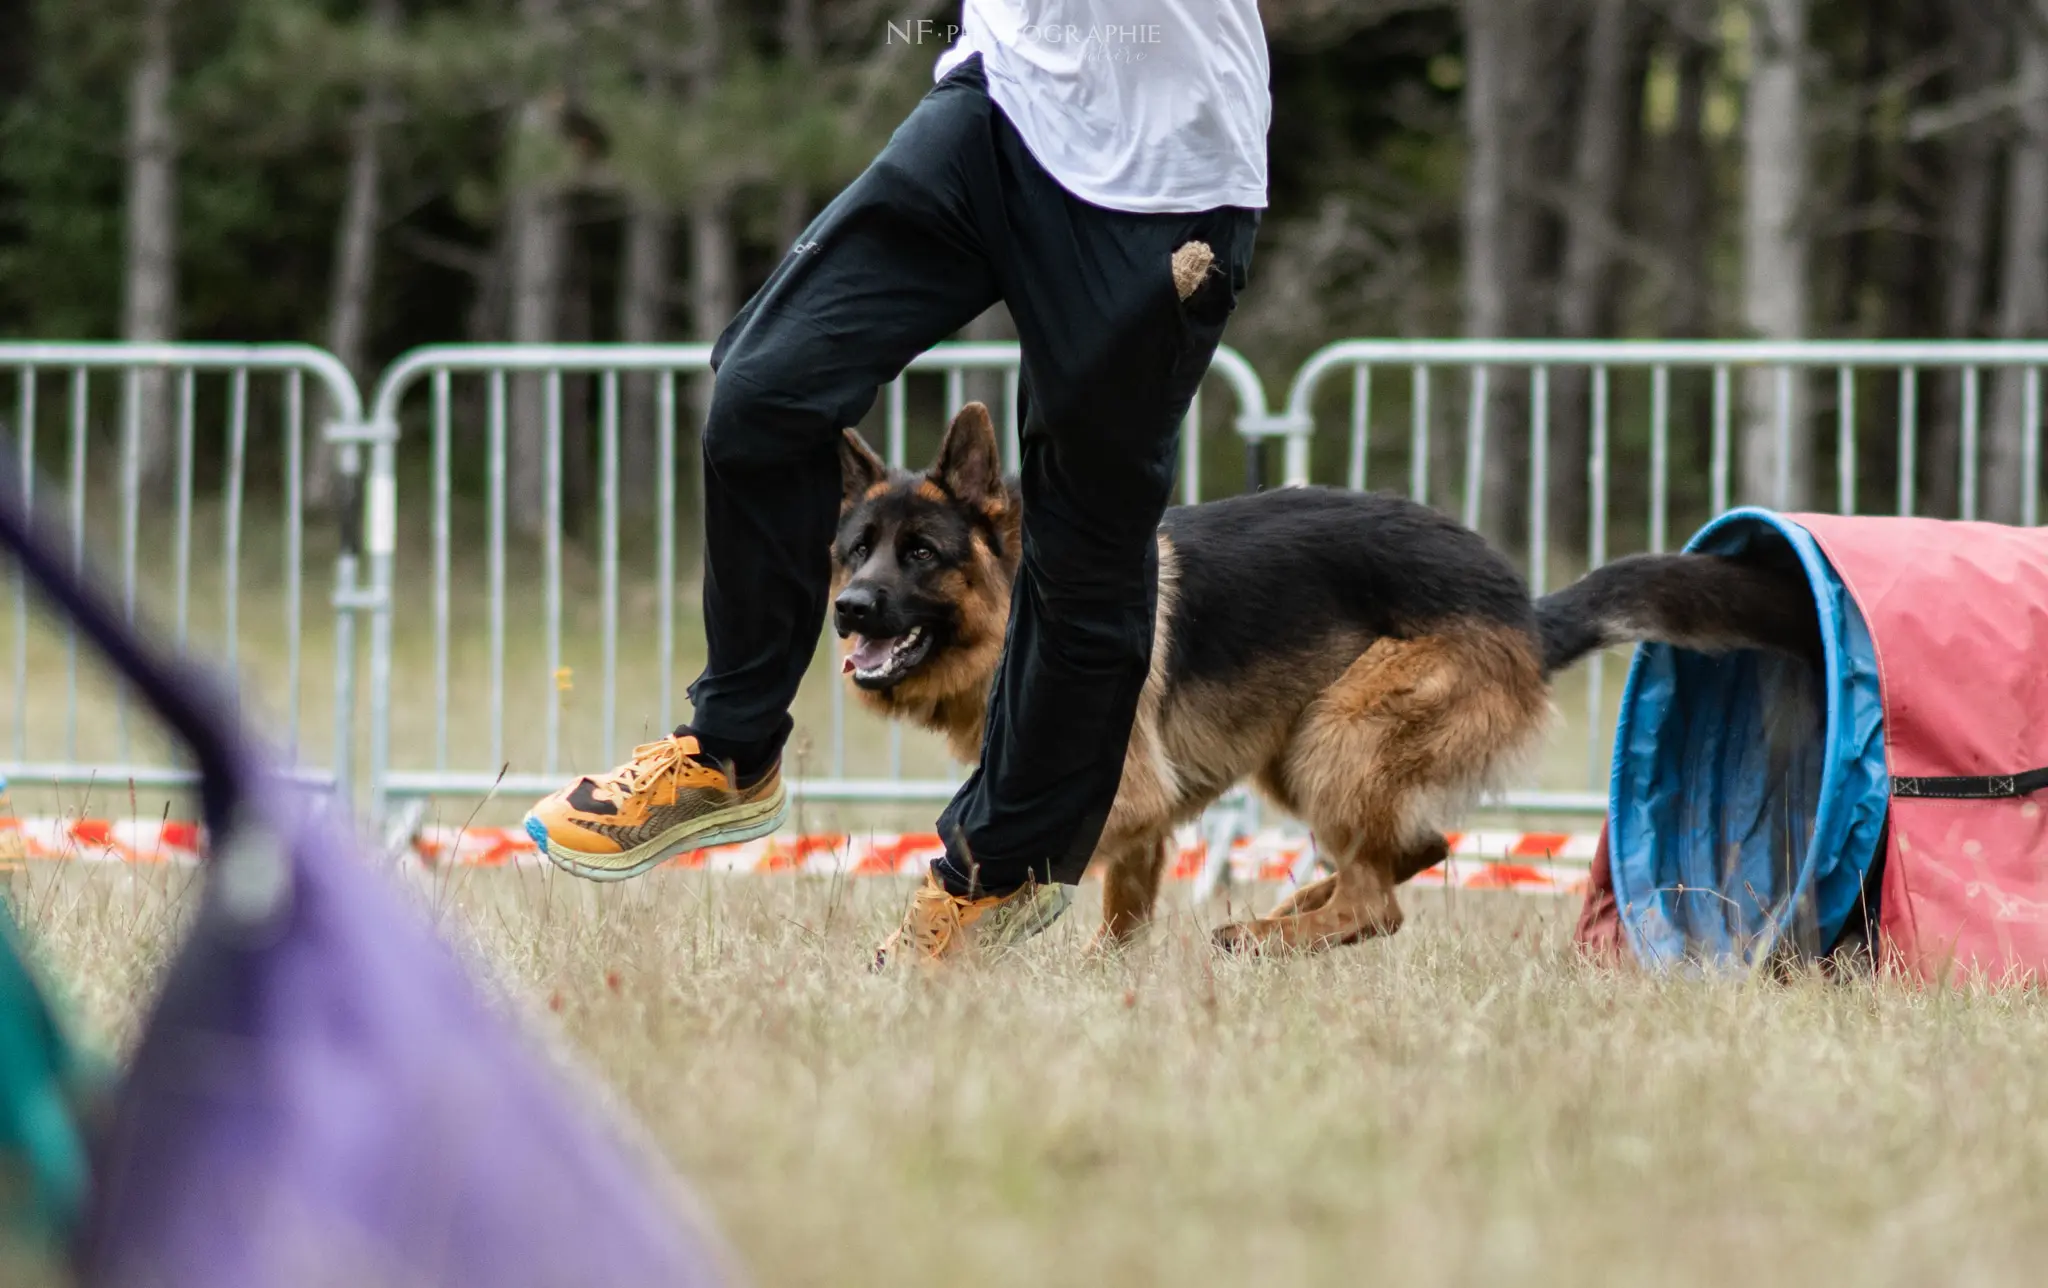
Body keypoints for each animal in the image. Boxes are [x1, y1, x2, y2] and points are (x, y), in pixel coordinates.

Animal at [823, 403, 1818, 954]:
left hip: (1337, 735)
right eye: (856, 551)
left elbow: (998, 846)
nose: (850, 610)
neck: (1016, 608)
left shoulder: (1121, 798)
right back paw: (1292, 906)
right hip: (1298, 753)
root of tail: (1525, 612)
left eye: (922, 553)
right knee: (1413, 852)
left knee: (1382, 901)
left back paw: (1265, 935)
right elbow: (1122, 917)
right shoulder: (1145, 828)